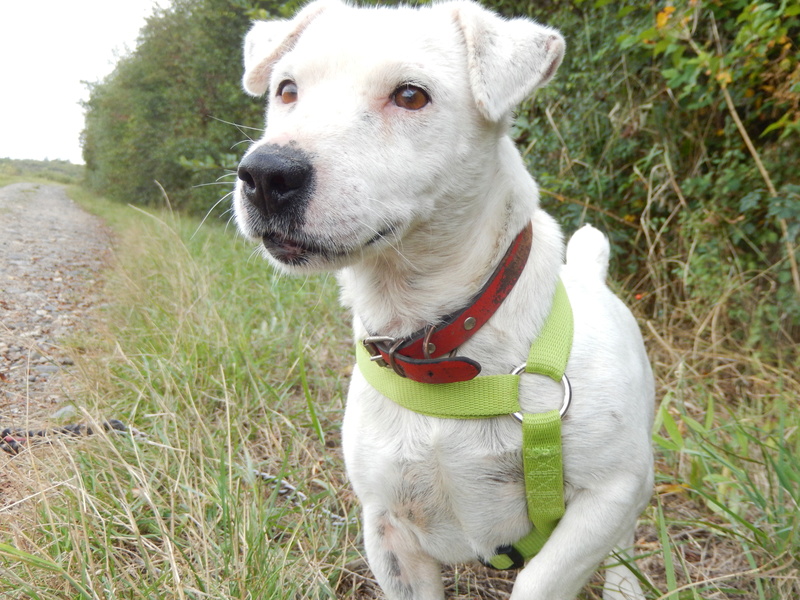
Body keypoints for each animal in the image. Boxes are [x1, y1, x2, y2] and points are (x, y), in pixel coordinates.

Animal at [233, 2, 656, 596]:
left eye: (411, 96)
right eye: (286, 89)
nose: (267, 174)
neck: (439, 342)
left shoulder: (609, 492)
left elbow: (541, 580)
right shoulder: (386, 526)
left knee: (624, 546)